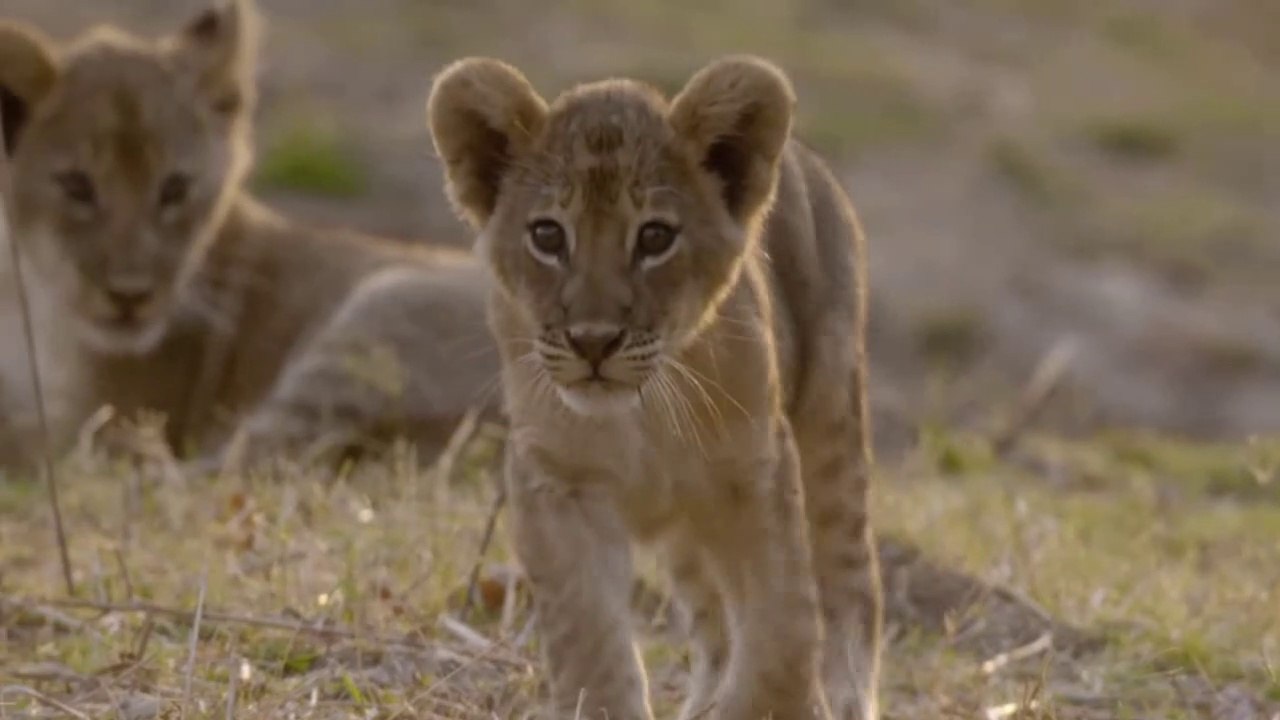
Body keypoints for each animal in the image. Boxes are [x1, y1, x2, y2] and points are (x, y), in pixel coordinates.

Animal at [0, 0, 501, 473]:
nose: (130, 296)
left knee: (242, 463)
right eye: (76, 186)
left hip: (381, 310)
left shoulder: (93, 415)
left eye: (175, 188)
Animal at [428, 56, 884, 720]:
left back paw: (845, 695)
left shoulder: (757, 471)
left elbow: (784, 627)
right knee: (713, 626)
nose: (593, 341)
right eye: (547, 235)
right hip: (688, 532)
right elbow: (590, 639)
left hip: (831, 424)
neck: (641, 419)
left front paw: (768, 702)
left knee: (851, 586)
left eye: (654, 238)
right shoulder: (556, 482)